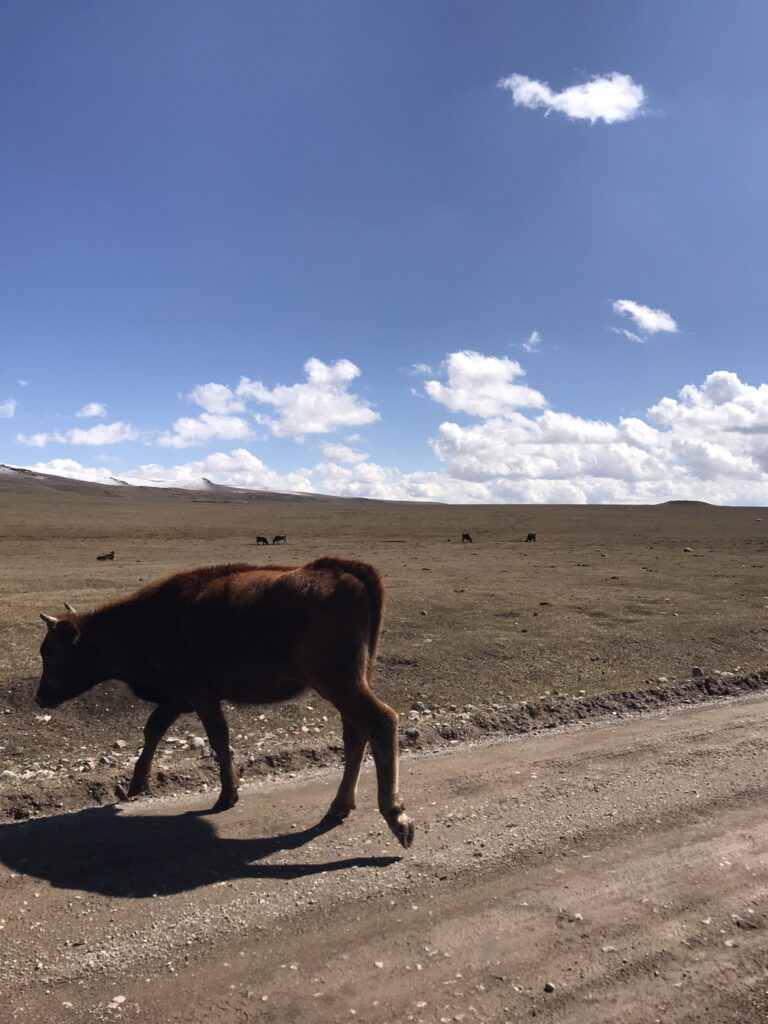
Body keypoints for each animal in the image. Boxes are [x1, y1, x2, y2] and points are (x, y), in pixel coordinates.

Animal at [37, 561, 415, 847]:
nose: (40, 697)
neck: (148, 621)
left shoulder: (200, 696)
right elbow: (154, 729)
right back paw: (339, 806)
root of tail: (347, 570)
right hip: (349, 685)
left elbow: (217, 737)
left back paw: (396, 816)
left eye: (50, 653)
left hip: (339, 684)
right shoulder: (179, 697)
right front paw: (136, 784)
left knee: (381, 721)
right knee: (357, 733)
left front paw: (227, 795)